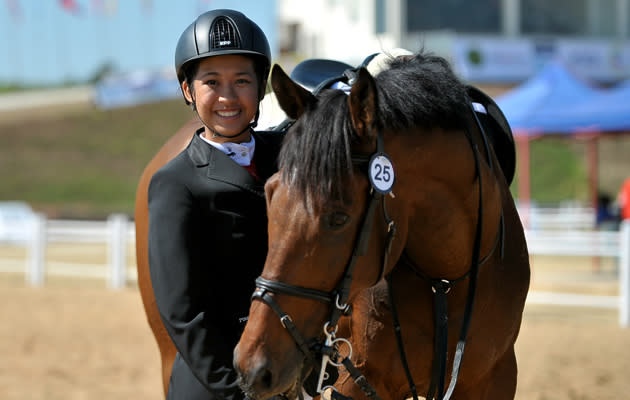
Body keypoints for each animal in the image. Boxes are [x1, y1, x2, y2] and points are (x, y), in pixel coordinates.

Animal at [235, 53, 532, 400]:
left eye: (339, 217)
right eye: (270, 196)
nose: (252, 366)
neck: (445, 276)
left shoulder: (495, 379)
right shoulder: (360, 381)